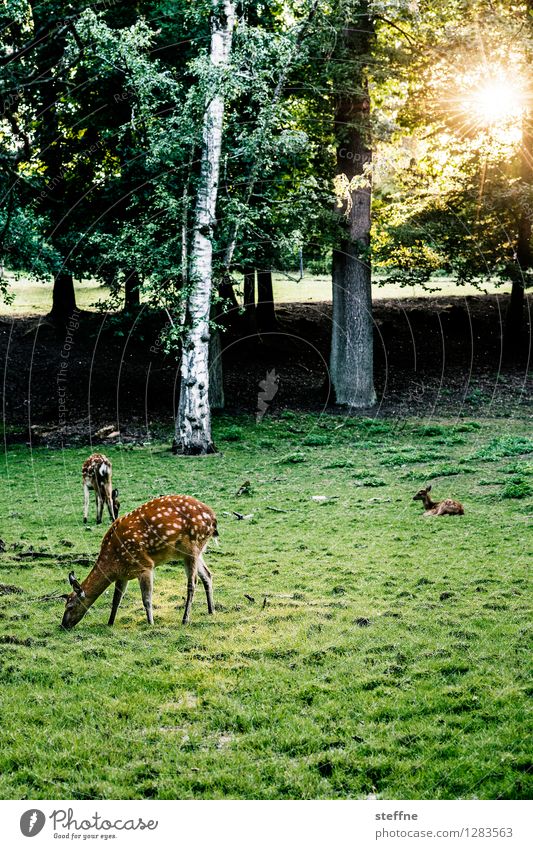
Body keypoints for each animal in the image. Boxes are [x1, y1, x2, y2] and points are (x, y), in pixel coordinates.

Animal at [62, 494, 218, 628]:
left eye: (70, 606)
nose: (63, 625)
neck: (113, 562)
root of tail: (213, 519)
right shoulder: (123, 575)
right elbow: (116, 599)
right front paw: (110, 622)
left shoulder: (144, 565)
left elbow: (146, 599)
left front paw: (150, 623)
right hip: (193, 552)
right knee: (207, 575)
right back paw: (211, 610)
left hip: (193, 546)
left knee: (192, 583)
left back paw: (185, 619)